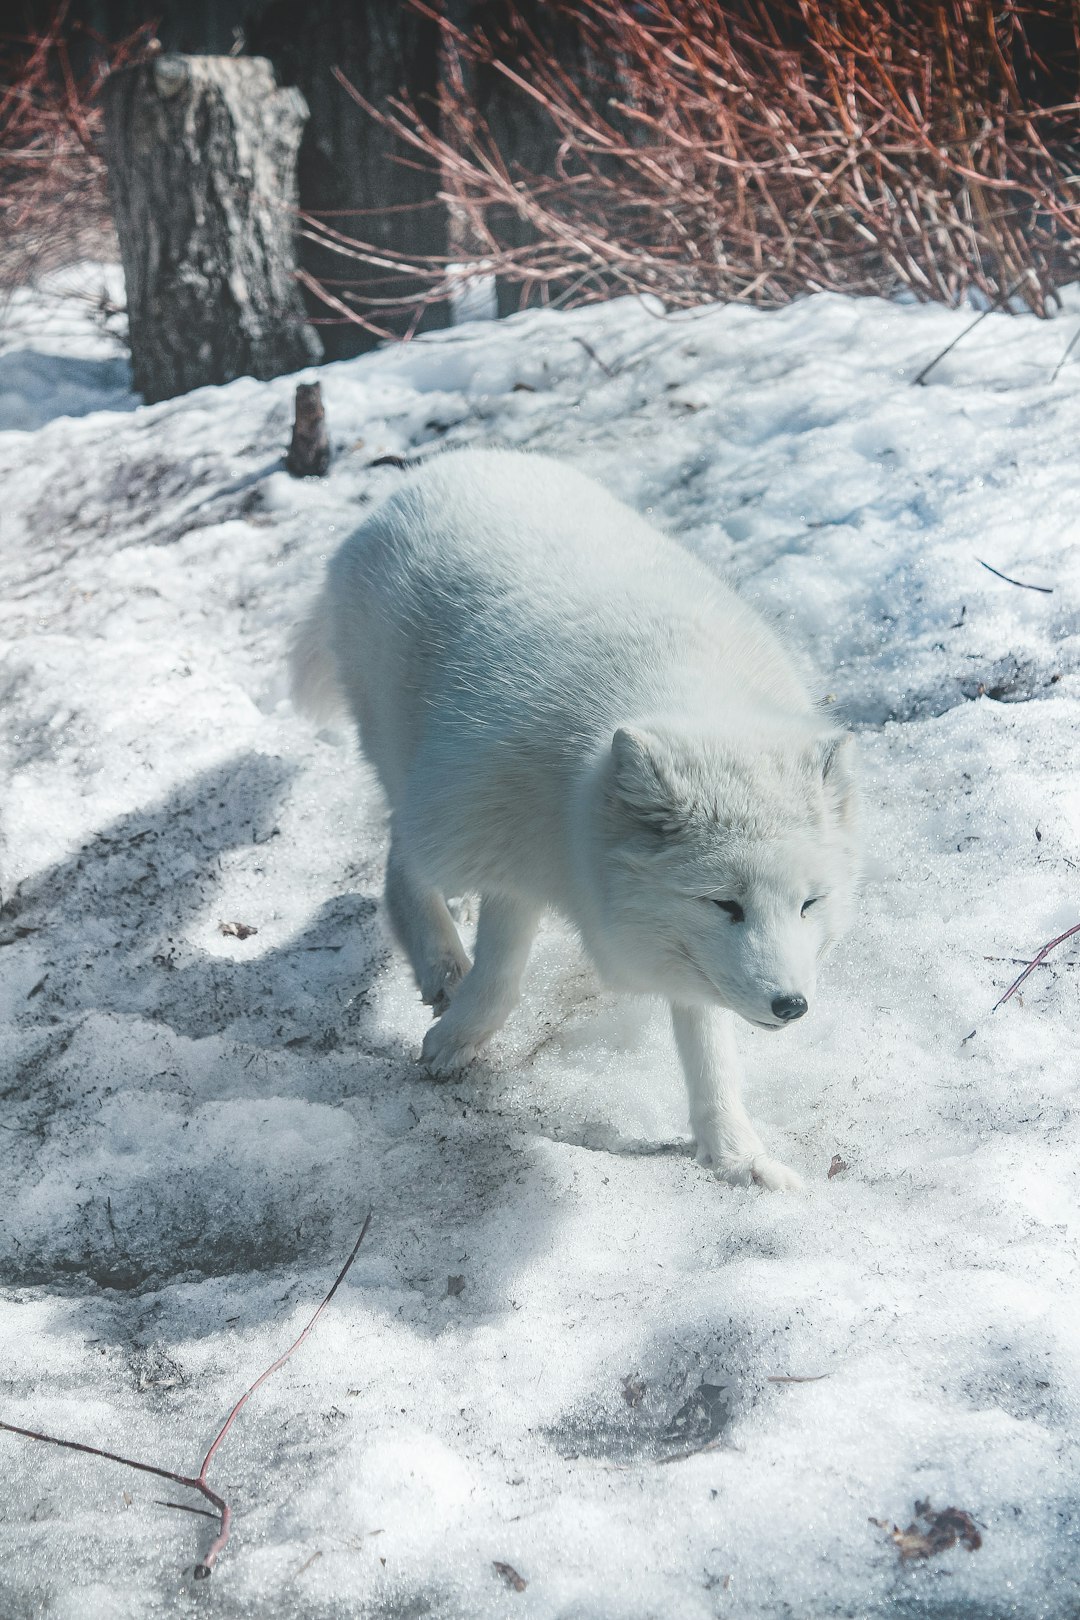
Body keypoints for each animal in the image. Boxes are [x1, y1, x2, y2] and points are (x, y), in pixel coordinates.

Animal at [291, 447, 854, 1192]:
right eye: (724, 904)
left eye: (809, 904)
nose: (791, 1006)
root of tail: (445, 465)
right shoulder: (506, 844)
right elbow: (500, 973)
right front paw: (455, 1039)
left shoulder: (670, 948)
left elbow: (708, 1048)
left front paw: (736, 1154)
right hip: (414, 768)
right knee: (401, 855)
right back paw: (439, 961)